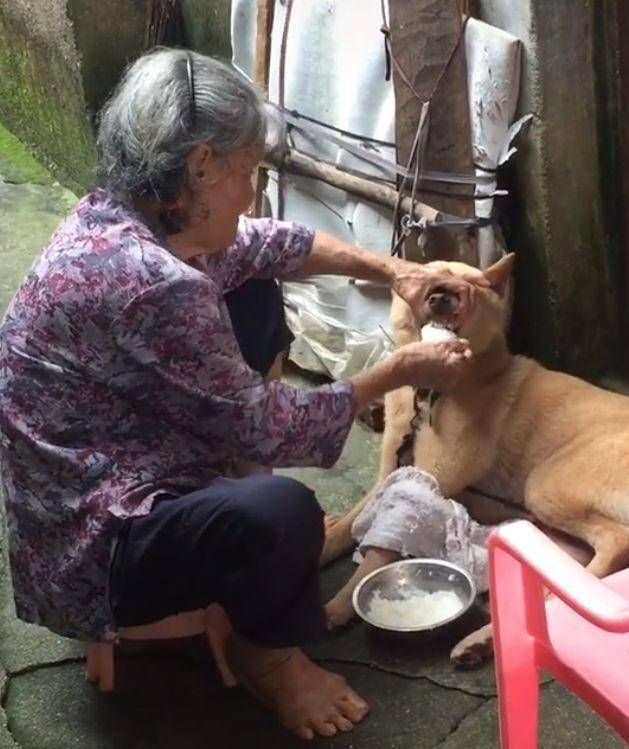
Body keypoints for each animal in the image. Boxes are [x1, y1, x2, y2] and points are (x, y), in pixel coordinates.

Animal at [322, 256, 628, 660]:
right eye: (431, 279)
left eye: (470, 285)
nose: (442, 299)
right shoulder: (389, 474)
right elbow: (344, 528)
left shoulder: (430, 479)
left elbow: (379, 553)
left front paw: (342, 601)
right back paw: (482, 640)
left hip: (544, 485)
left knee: (614, 545)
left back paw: (477, 640)